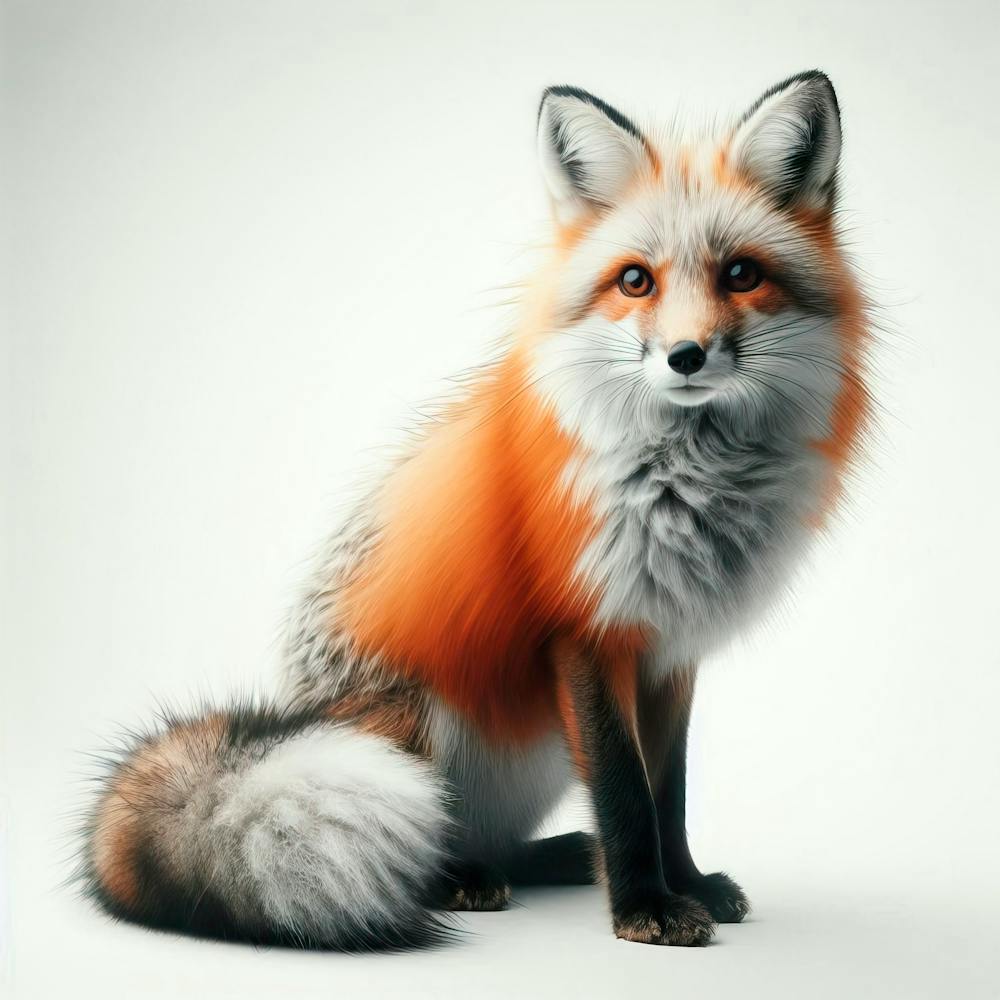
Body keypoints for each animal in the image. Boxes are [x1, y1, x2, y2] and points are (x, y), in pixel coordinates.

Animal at [81, 70, 870, 950]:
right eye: (636, 281)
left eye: (741, 275)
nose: (686, 356)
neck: (689, 483)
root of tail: (301, 709)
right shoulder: (586, 632)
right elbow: (626, 792)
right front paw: (646, 906)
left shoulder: (670, 651)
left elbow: (668, 793)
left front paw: (685, 882)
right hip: (422, 728)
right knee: (428, 839)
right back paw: (461, 877)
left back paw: (548, 858)